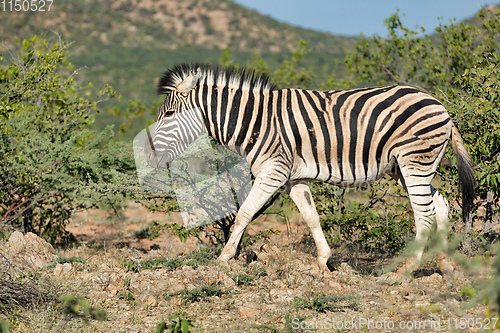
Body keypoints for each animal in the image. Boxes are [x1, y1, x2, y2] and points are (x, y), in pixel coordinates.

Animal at [144, 62, 472, 272]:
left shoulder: (272, 171)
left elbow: (244, 214)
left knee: (424, 216)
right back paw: (444, 264)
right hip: (408, 168)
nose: (149, 156)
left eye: (169, 113)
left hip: (414, 162)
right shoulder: (293, 178)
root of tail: (441, 106)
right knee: (440, 204)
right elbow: (311, 217)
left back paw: (407, 270)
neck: (255, 121)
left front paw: (224, 259)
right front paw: (323, 261)